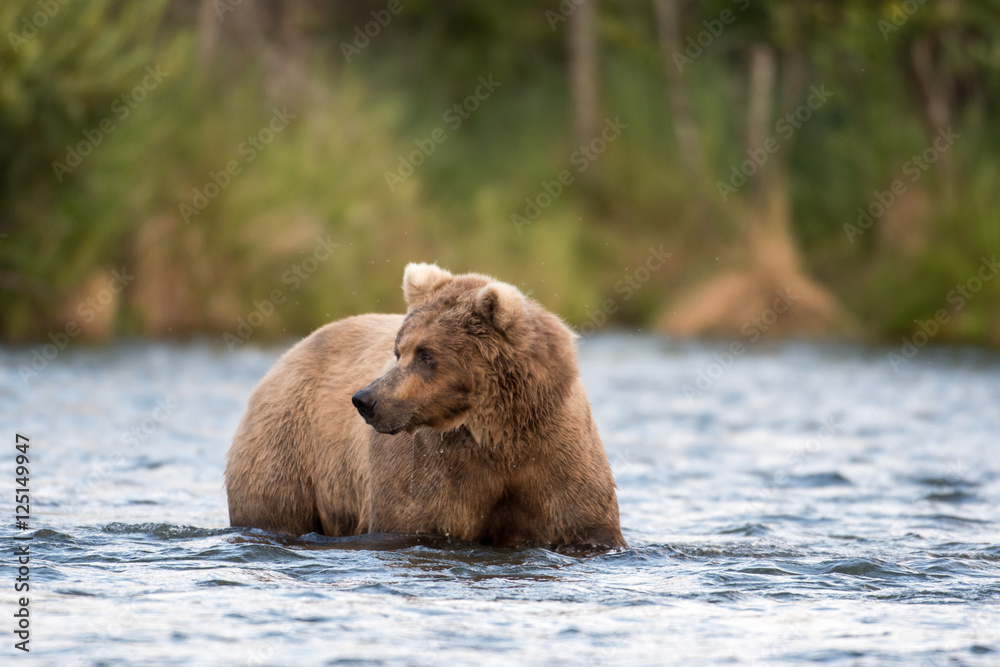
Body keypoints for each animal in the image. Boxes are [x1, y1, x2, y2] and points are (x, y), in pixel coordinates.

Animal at [224, 263, 626, 549]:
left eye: (427, 355)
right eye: (398, 350)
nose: (364, 399)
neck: (497, 434)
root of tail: (290, 353)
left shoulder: (555, 453)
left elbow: (585, 524)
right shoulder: (433, 470)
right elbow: (414, 521)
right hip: (289, 450)